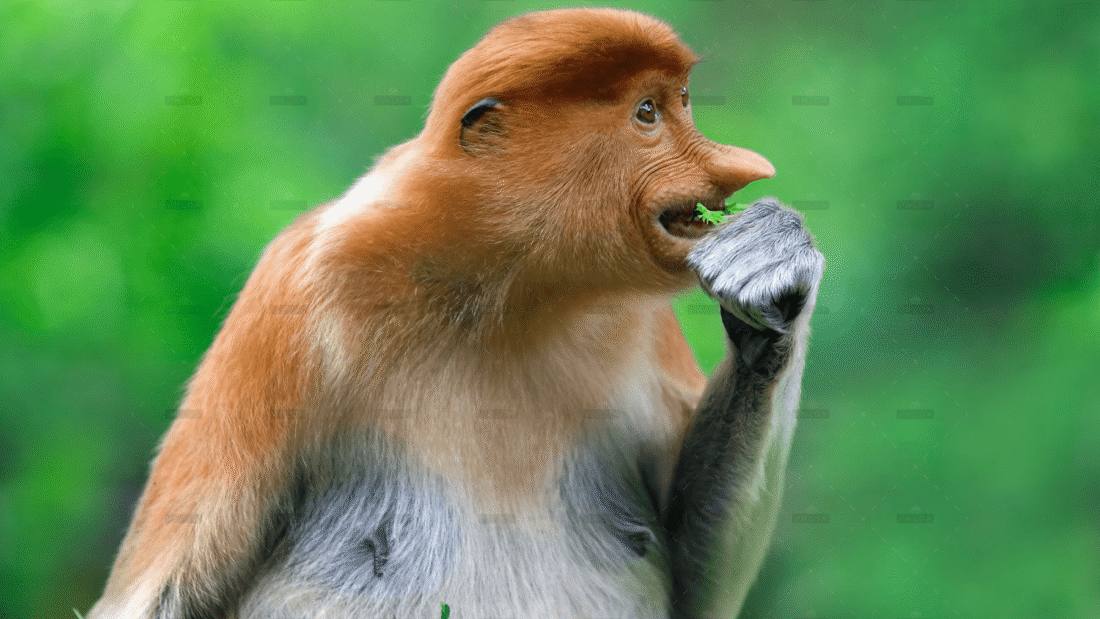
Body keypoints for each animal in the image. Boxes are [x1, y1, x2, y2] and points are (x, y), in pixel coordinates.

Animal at [87, 8, 823, 619]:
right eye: (648, 112)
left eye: (684, 102)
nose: (742, 168)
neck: (503, 289)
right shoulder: (293, 297)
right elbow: (160, 595)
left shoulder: (641, 320)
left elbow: (699, 577)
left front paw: (770, 272)